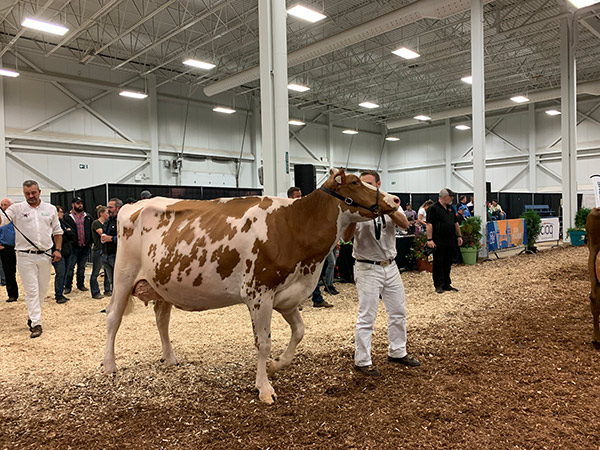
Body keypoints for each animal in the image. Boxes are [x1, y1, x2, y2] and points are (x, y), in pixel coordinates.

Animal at [105, 167, 400, 402]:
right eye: (355, 182)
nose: (396, 199)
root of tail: (135, 205)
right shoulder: (259, 293)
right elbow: (263, 342)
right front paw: (265, 389)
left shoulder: (287, 295)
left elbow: (299, 331)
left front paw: (276, 366)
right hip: (123, 276)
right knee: (113, 317)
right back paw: (109, 365)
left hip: (163, 284)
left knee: (161, 318)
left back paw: (170, 358)